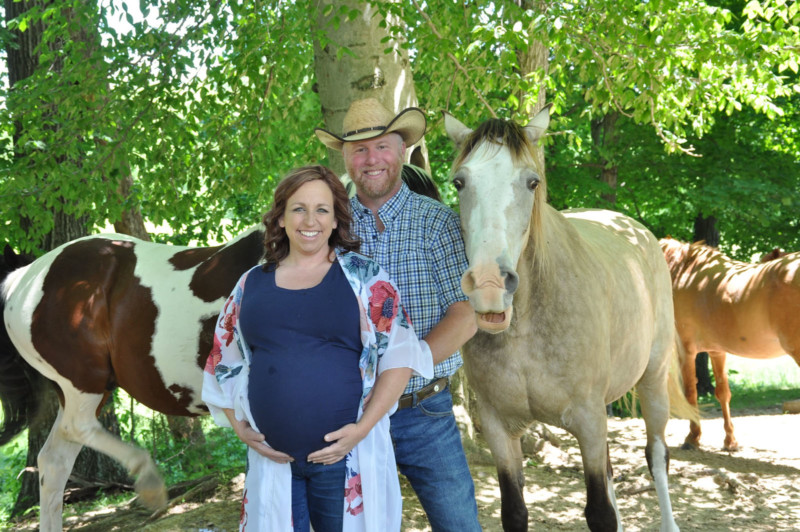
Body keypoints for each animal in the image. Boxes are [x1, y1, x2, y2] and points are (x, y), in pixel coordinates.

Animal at [444, 106, 692, 528]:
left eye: (532, 182)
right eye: (460, 182)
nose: (490, 284)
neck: (527, 326)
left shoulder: (588, 419)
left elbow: (600, 513)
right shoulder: (498, 428)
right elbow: (515, 512)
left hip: (653, 379)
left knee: (657, 456)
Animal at [660, 239, 796, 450]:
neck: (685, 273)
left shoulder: (687, 351)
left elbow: (691, 393)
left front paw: (693, 437)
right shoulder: (717, 351)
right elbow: (723, 393)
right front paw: (730, 440)